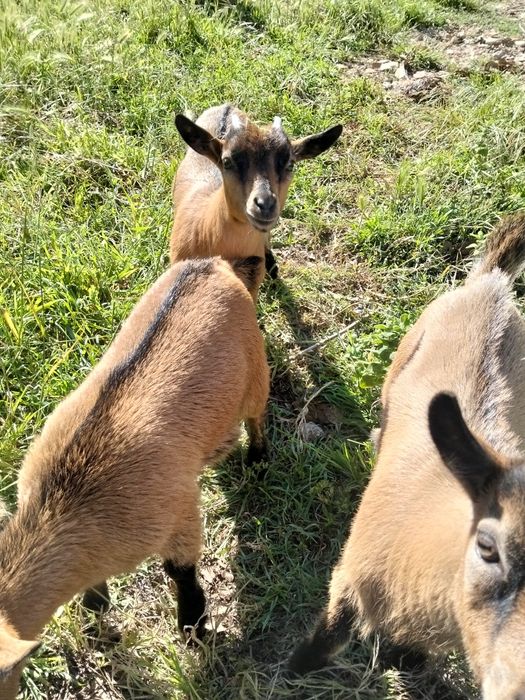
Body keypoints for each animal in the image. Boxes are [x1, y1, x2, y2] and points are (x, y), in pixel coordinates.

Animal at [0, 256, 269, 699]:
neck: (68, 498)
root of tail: (213, 264)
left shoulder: (178, 510)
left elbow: (180, 572)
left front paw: (194, 630)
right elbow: (95, 595)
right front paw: (99, 630)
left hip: (256, 371)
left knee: (257, 415)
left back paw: (258, 460)